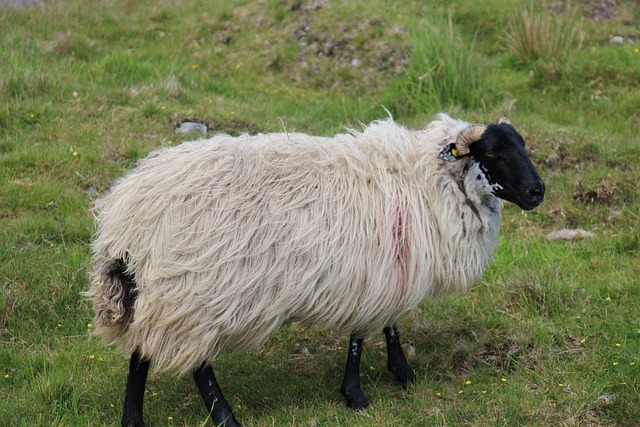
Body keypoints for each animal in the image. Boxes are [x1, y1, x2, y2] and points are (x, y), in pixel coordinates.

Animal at [86, 113, 545, 427]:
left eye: (523, 146)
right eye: (491, 152)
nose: (537, 191)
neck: (426, 181)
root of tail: (127, 219)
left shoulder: (383, 268)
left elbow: (389, 324)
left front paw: (400, 373)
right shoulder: (375, 272)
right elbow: (364, 333)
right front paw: (358, 393)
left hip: (156, 293)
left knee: (140, 353)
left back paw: (133, 420)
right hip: (194, 292)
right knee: (195, 364)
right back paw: (226, 418)